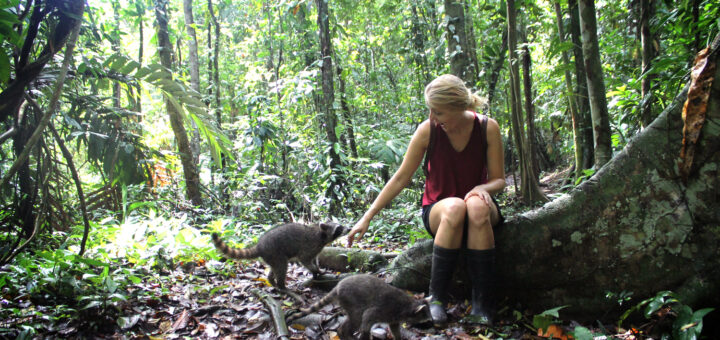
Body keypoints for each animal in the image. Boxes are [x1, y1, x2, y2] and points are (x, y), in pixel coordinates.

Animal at [211, 222, 348, 290]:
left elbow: (315, 259)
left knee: (275, 268)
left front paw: (317, 270)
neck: (321, 235)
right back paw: (282, 285)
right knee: (282, 267)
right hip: (274, 252)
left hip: (271, 257)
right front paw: (315, 270)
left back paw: (272, 280)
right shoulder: (310, 246)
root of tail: (260, 246)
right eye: (339, 228)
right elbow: (304, 259)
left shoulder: (317, 249)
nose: (349, 228)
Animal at [286, 274, 430, 340]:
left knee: (352, 319)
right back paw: (345, 333)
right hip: (352, 299)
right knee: (358, 318)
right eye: (427, 321)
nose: (434, 325)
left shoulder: (394, 317)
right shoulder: (385, 308)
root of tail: (338, 286)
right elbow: (367, 318)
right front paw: (365, 333)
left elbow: (394, 328)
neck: (409, 305)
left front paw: (398, 337)